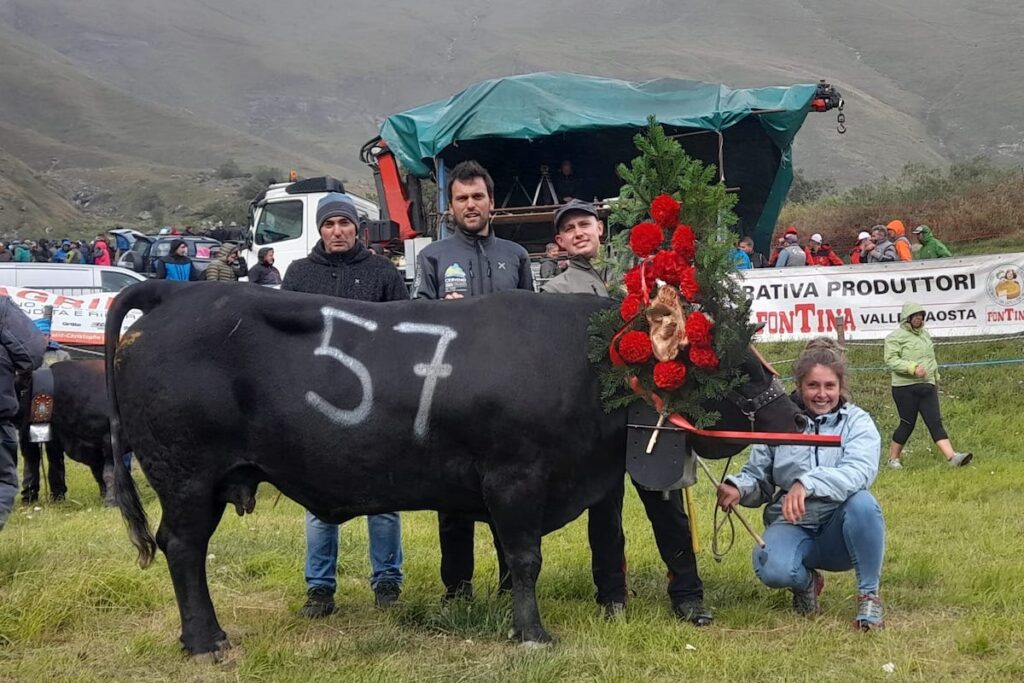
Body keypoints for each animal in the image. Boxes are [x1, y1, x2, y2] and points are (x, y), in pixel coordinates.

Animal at [17, 360, 122, 505]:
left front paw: (111, 501)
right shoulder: (57, 439)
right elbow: (56, 467)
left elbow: (109, 473)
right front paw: (57, 499)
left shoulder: (108, 439)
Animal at [101, 282, 798, 655]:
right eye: (734, 362)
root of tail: (177, 291)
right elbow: (525, 558)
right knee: (183, 548)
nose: (794, 412)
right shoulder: (516, 477)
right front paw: (532, 633)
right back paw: (205, 639)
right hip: (188, 476)